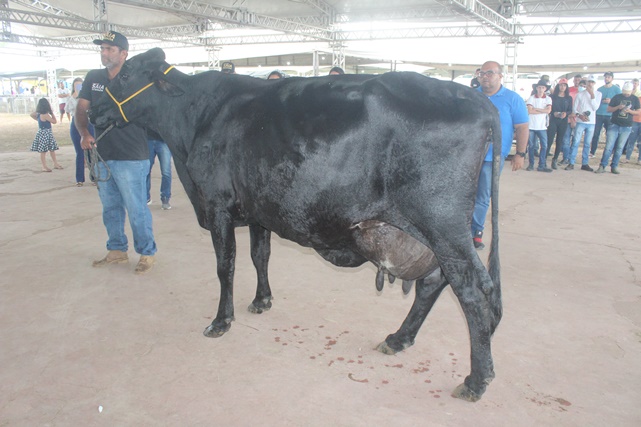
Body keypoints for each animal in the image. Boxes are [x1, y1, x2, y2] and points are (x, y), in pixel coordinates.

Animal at [90, 47, 503, 402]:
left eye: (124, 73)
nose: (92, 110)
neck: (194, 119)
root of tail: (476, 98)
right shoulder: (258, 208)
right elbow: (260, 255)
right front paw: (262, 300)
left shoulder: (217, 206)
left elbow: (226, 267)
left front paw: (221, 321)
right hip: (433, 235)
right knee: (434, 283)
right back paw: (399, 339)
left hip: (443, 226)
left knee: (471, 291)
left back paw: (476, 380)